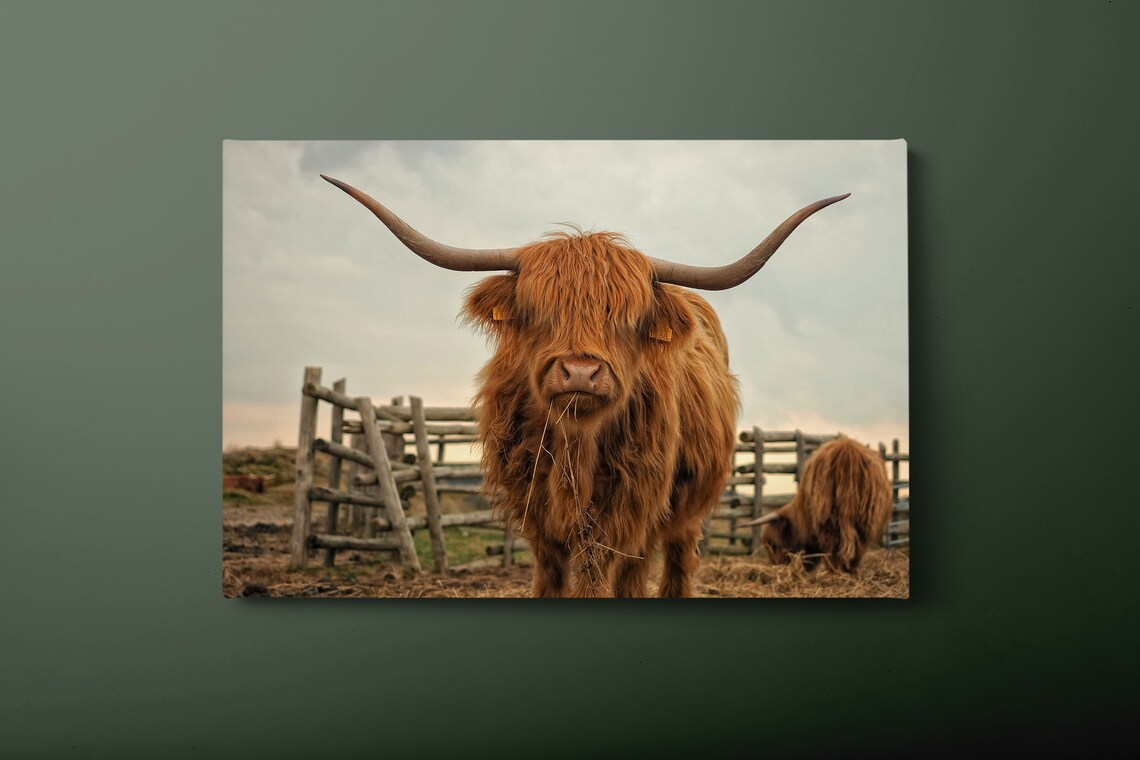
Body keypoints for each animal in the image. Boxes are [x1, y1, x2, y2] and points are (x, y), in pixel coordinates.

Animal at [323, 174, 848, 597]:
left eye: (628, 319)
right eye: (538, 312)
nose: (579, 372)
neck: (575, 448)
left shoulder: (627, 514)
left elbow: (609, 578)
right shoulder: (538, 518)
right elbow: (552, 578)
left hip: (685, 509)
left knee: (671, 563)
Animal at [744, 436, 892, 573]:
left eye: (773, 545)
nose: (776, 566)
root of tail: (847, 450)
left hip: (827, 515)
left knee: (833, 544)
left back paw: (833, 571)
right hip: (865, 517)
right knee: (858, 545)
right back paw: (849, 571)